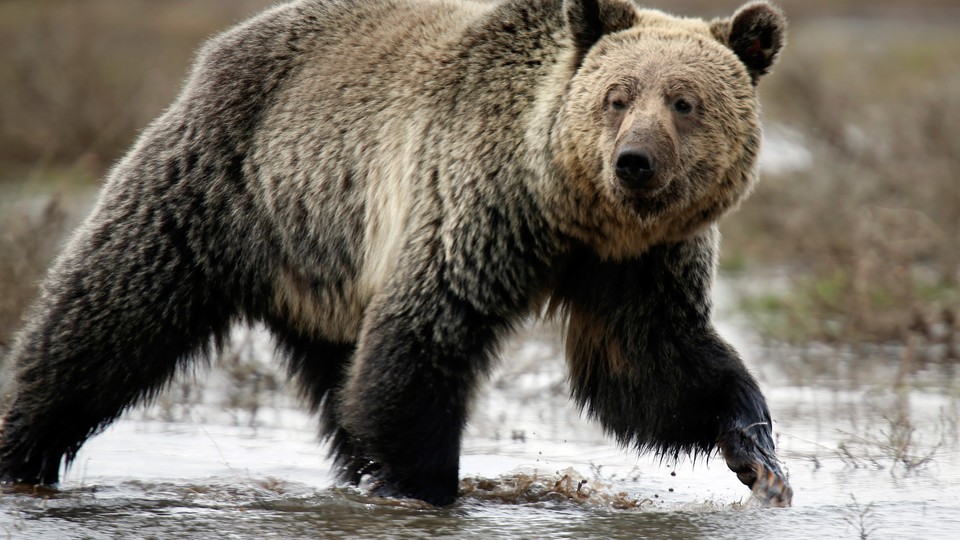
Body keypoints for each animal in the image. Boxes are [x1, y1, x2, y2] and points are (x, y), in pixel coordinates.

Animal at [0, 0, 788, 506]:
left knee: (340, 382)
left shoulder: (640, 264)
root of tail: (225, 44)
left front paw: (757, 453)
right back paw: (24, 448)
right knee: (108, 313)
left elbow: (650, 366)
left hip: (326, 265)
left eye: (685, 101)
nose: (634, 162)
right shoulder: (473, 204)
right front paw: (425, 487)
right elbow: (422, 342)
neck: (571, 212)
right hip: (225, 185)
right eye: (618, 96)